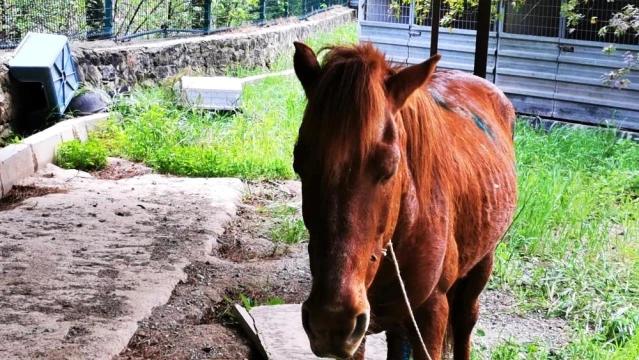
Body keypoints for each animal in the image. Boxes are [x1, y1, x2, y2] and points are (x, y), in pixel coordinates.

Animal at [292, 43, 516, 360]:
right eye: (298, 163)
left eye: (390, 167)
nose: (331, 322)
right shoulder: (361, 329)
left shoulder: (431, 315)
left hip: (482, 264)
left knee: (465, 321)